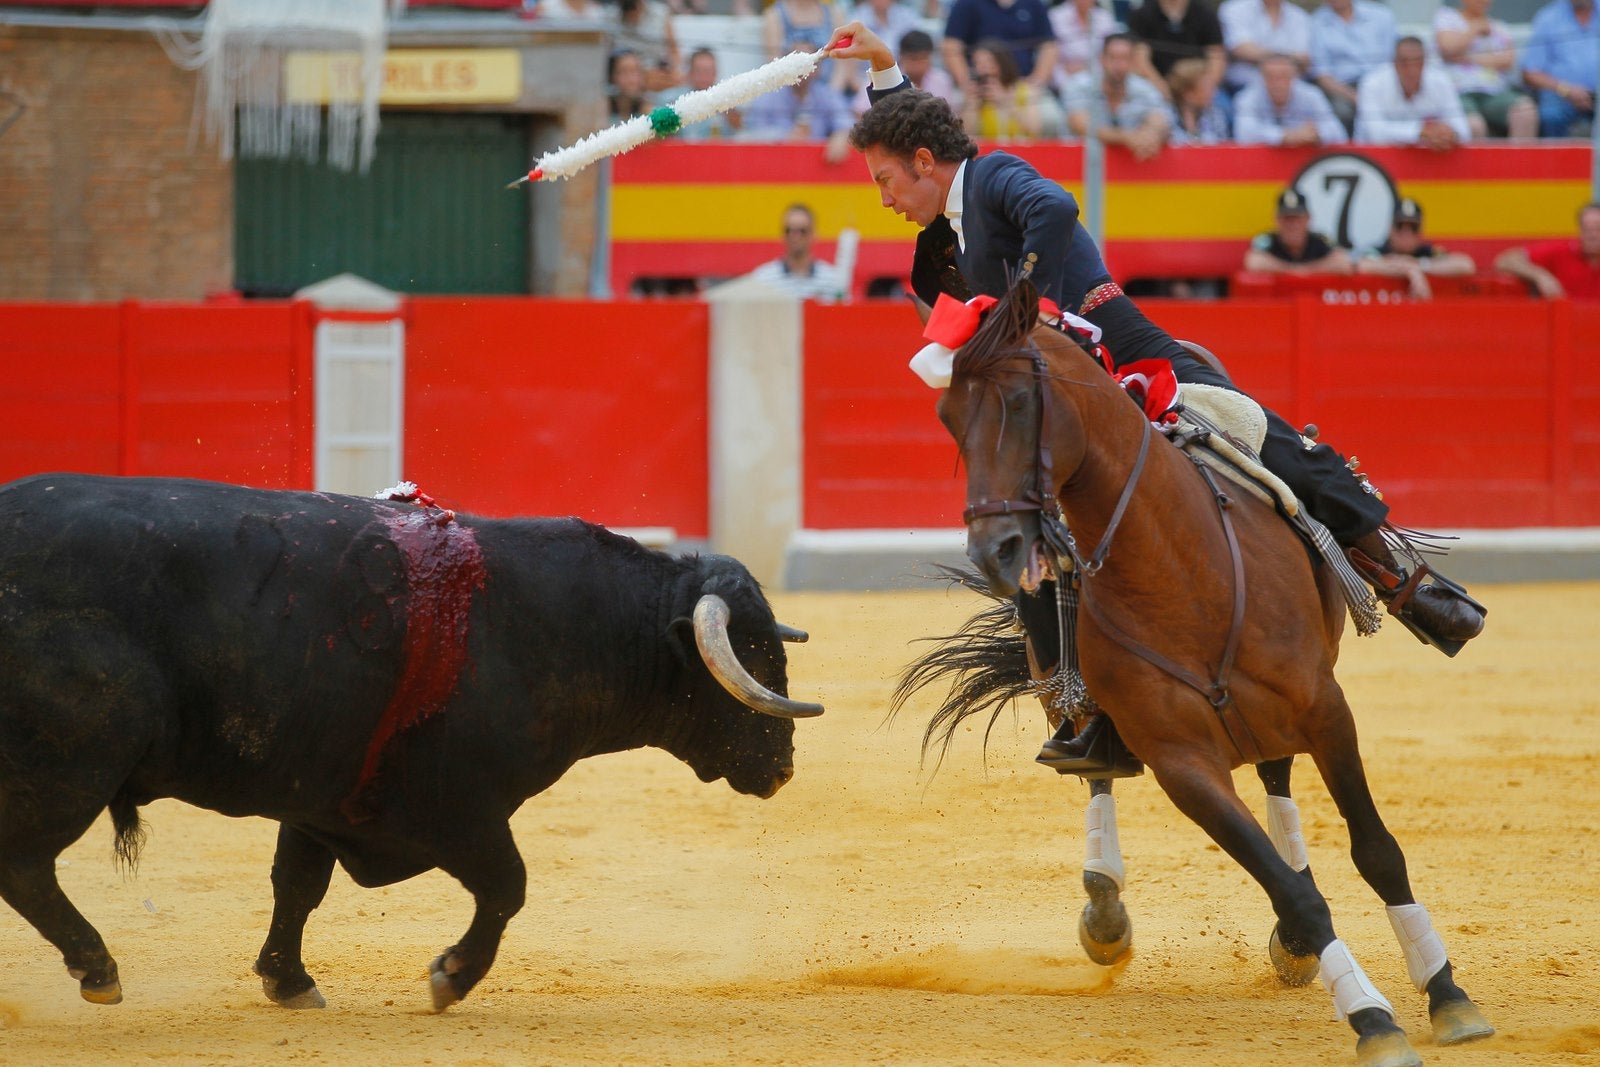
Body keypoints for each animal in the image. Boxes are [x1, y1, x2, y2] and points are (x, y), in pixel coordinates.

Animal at [0, 473, 825, 1011]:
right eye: (753, 652)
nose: (783, 766)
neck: (564, 623)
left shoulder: (320, 797)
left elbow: (297, 885)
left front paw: (288, 979)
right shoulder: (457, 808)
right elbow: (508, 884)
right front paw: (451, 976)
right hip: (72, 762)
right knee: (25, 867)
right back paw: (98, 967)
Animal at [934, 279, 1491, 1067]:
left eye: (1017, 401)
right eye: (949, 417)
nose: (996, 549)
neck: (1178, 565)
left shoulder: (1329, 708)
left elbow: (1377, 851)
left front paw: (1446, 993)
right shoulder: (1182, 763)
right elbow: (1293, 893)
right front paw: (1372, 1018)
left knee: (1277, 769)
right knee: (1100, 768)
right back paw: (1106, 908)